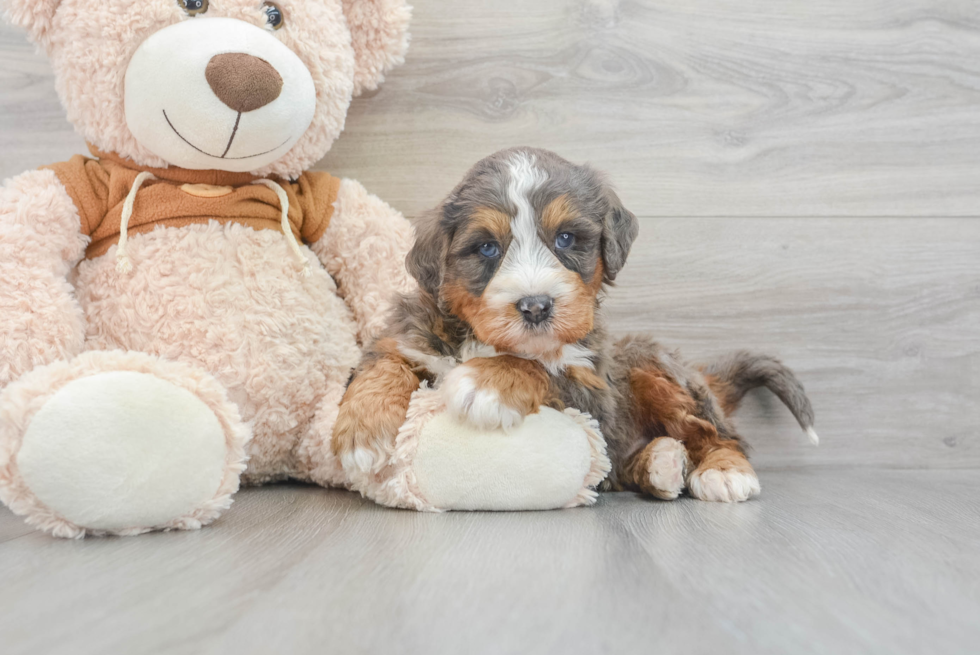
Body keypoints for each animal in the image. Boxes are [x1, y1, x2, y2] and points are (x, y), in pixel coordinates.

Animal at [334, 147, 816, 502]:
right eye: (487, 248)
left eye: (566, 238)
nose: (535, 306)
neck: (484, 341)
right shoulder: (413, 333)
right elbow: (386, 360)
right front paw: (361, 433)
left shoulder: (592, 393)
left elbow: (542, 369)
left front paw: (489, 382)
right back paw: (663, 463)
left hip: (650, 365)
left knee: (718, 432)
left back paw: (723, 471)